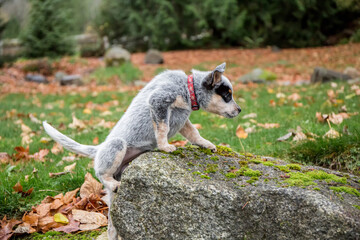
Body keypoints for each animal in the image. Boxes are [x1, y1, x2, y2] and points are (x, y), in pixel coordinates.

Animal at [42, 62, 240, 240]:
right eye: (227, 95)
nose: (239, 109)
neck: (187, 88)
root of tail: (98, 149)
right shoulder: (159, 101)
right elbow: (162, 127)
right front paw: (165, 146)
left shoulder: (183, 121)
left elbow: (194, 133)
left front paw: (206, 144)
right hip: (117, 145)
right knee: (101, 173)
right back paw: (112, 181)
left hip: (116, 193)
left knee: (111, 225)